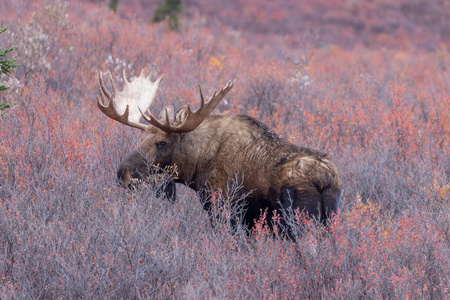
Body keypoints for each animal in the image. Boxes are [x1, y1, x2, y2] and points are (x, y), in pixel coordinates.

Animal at [97, 69, 342, 230]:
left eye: (162, 143)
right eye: (141, 137)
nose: (123, 173)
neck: (195, 167)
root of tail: (326, 179)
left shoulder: (223, 210)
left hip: (302, 221)